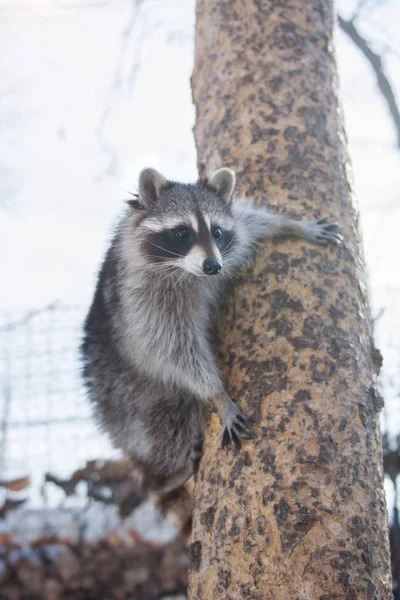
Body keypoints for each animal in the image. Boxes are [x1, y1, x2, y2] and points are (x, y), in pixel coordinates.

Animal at [80, 168, 340, 510]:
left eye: (216, 232)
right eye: (182, 233)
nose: (213, 266)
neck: (186, 271)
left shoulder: (227, 243)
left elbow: (250, 223)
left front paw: (291, 225)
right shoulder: (142, 300)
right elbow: (172, 350)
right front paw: (217, 393)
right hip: (126, 394)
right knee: (168, 420)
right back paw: (160, 479)